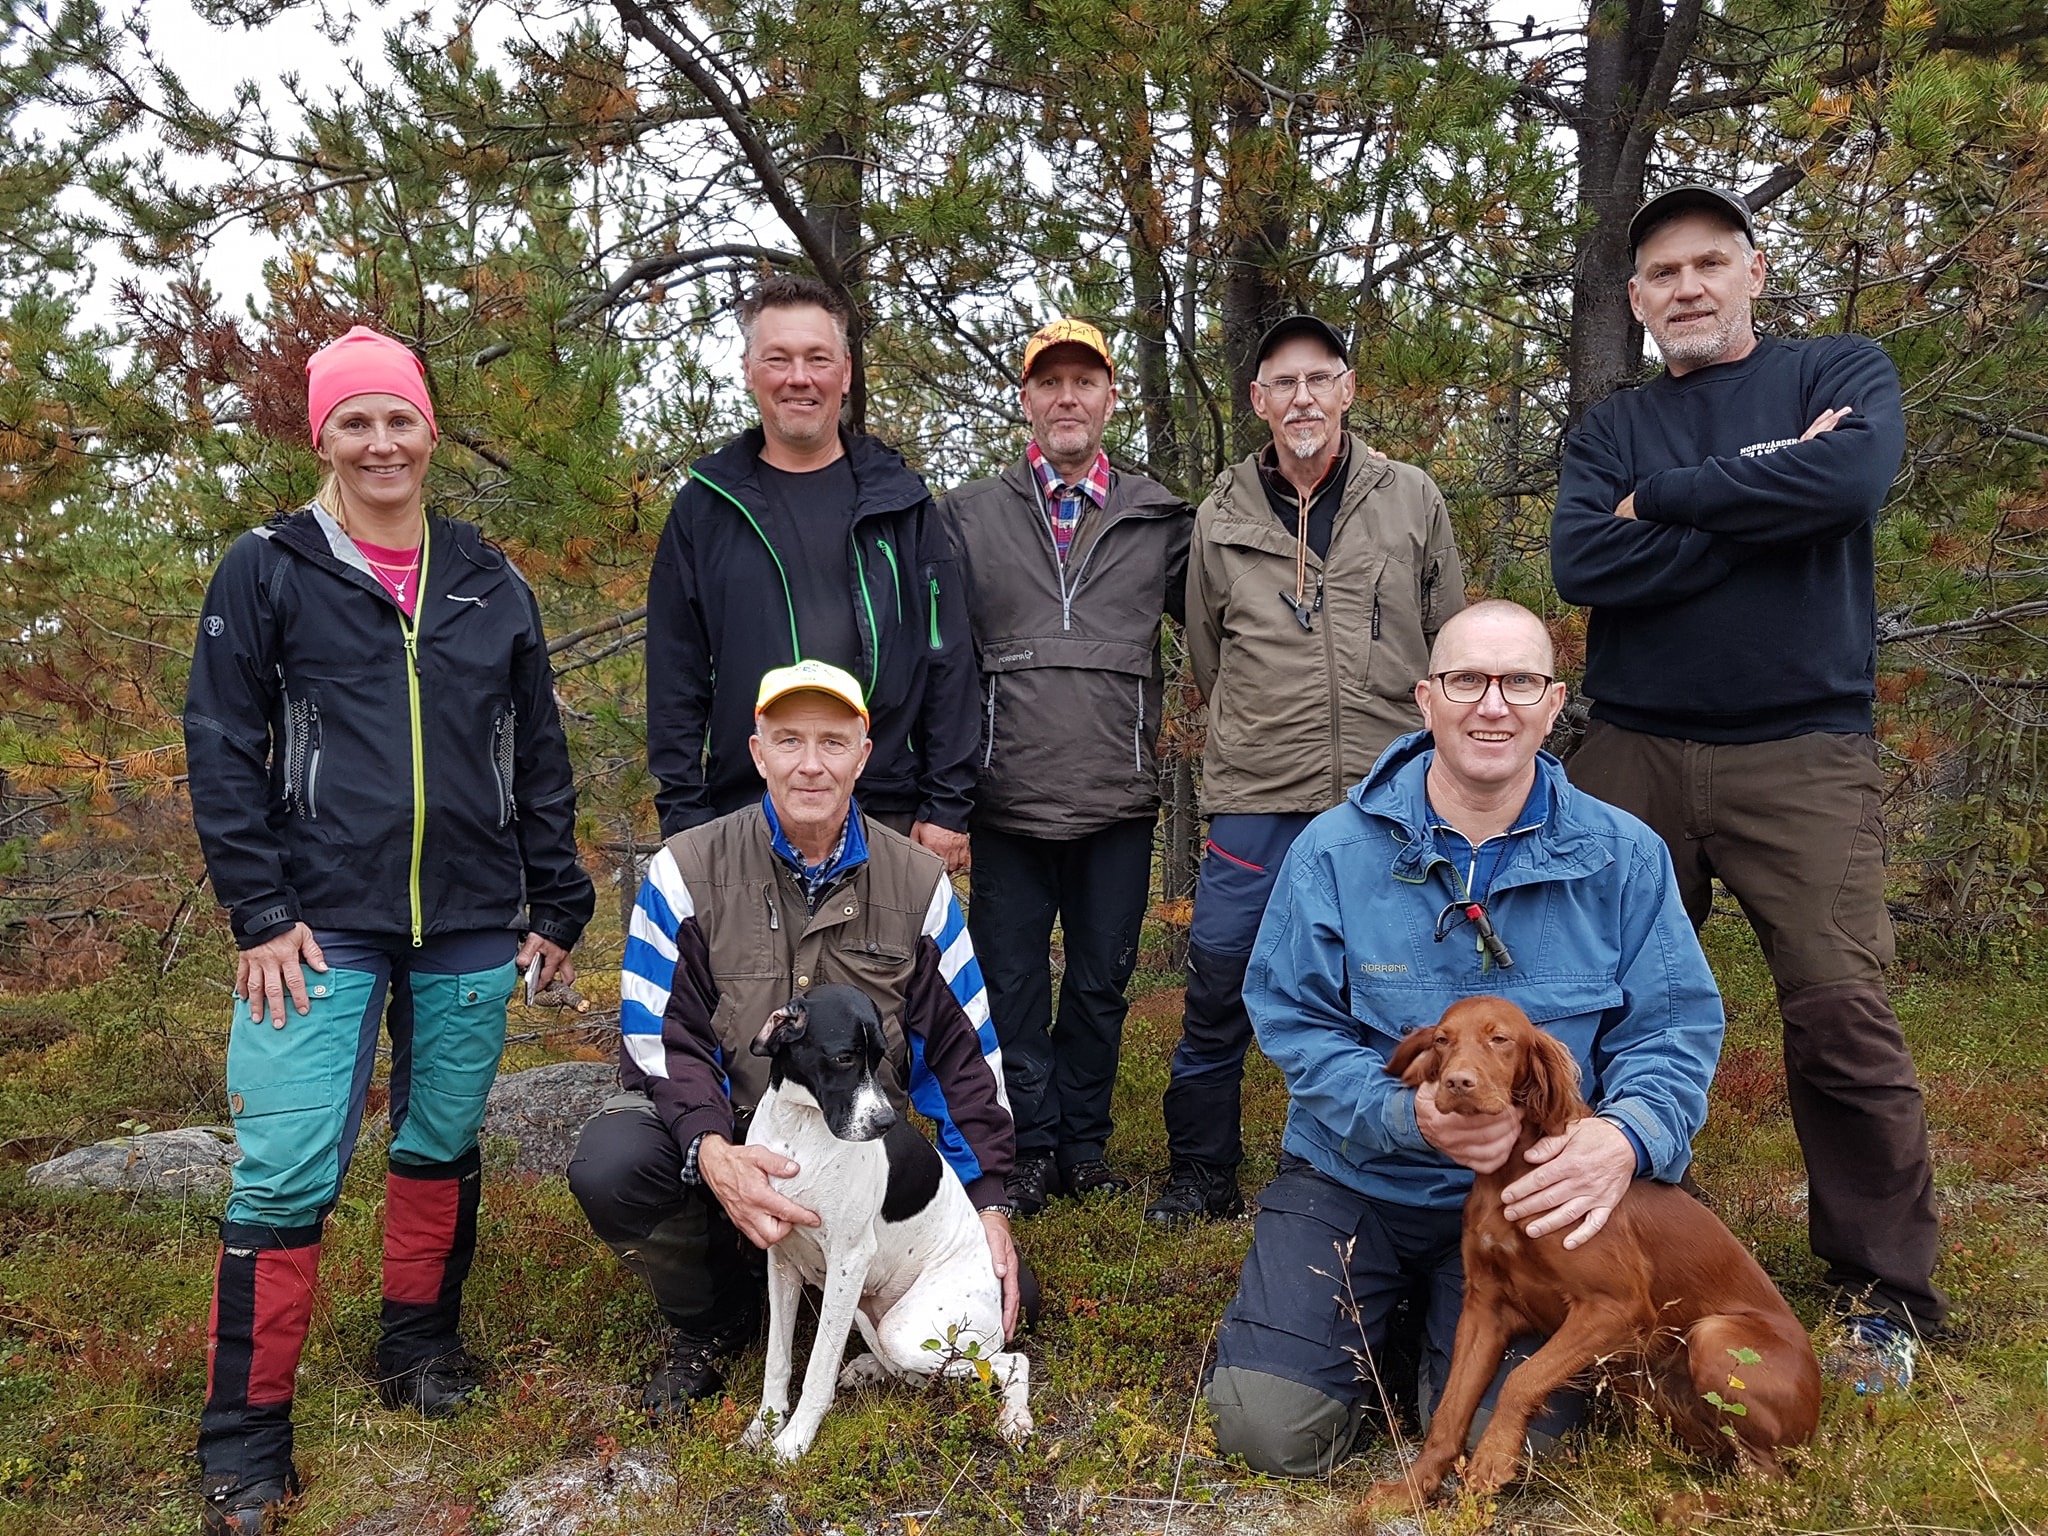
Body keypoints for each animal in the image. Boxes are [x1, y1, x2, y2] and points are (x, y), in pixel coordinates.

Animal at [737, 991, 1032, 1458]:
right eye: (844, 1058)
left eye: (879, 1059)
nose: (884, 1123)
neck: (799, 1129)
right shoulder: (781, 1260)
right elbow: (777, 1360)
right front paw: (765, 1425)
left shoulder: (848, 1262)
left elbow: (818, 1368)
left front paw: (794, 1440)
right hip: (864, 1312)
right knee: (914, 1370)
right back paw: (868, 1368)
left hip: (906, 1331)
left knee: (1009, 1362)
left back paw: (1015, 1418)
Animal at [1368, 999, 1818, 1515]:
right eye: (1442, 1040)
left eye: (1501, 1039)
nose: (1458, 1083)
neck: (1511, 1170)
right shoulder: (1484, 1308)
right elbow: (1449, 1409)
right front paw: (1410, 1489)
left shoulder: (1616, 1308)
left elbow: (1522, 1377)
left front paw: (1493, 1458)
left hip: (1713, 1337)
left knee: (1772, 1484)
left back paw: (1684, 1506)